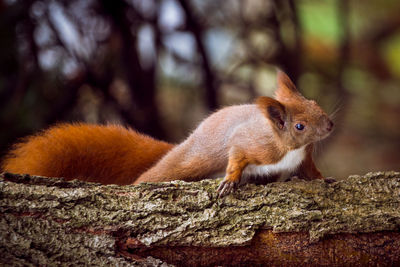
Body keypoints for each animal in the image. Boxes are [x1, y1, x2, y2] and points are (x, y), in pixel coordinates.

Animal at [1, 71, 332, 197]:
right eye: (299, 126)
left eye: (316, 103)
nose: (330, 126)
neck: (289, 148)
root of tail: (186, 142)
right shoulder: (254, 144)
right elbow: (237, 153)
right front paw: (230, 181)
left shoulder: (303, 157)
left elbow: (310, 170)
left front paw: (323, 178)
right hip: (190, 161)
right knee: (154, 174)